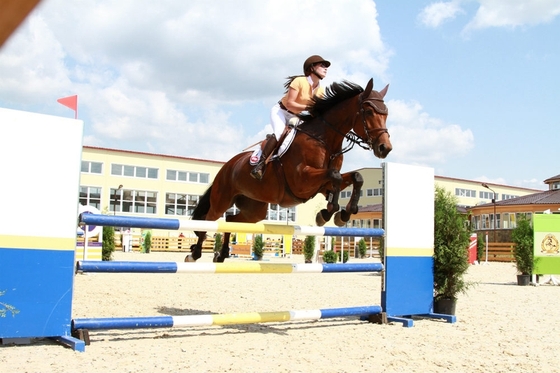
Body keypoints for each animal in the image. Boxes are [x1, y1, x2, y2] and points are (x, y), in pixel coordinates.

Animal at [186, 77, 392, 262]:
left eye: (386, 114)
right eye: (368, 111)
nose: (385, 148)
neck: (325, 141)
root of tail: (226, 166)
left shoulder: (322, 185)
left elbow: (355, 177)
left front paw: (341, 213)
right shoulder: (302, 180)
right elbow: (335, 176)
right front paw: (328, 213)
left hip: (254, 209)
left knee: (231, 220)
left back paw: (221, 255)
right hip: (222, 200)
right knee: (208, 220)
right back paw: (194, 254)